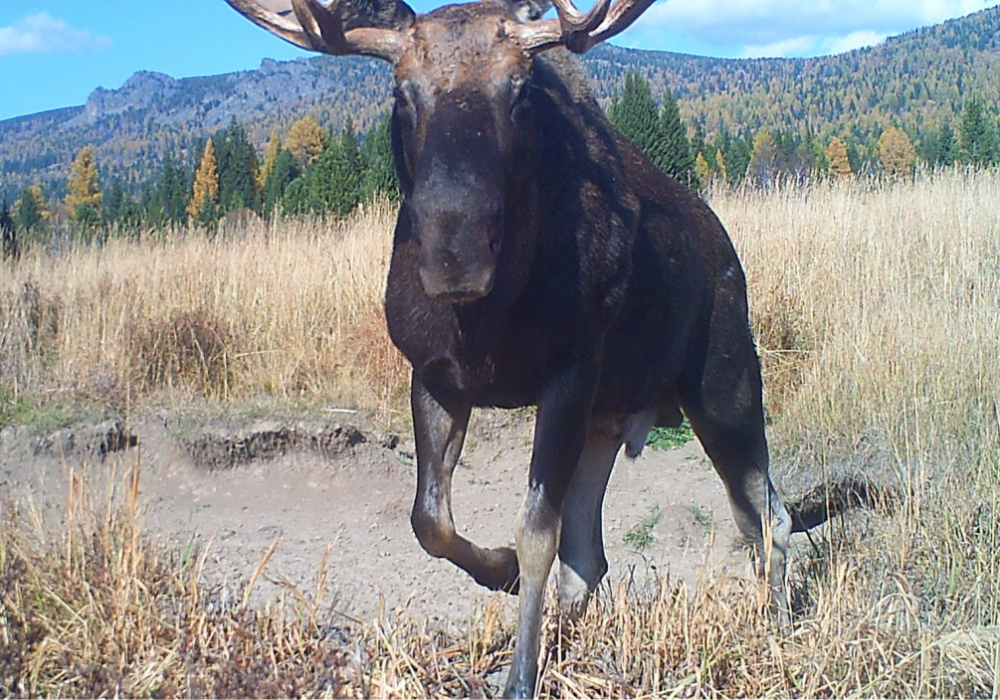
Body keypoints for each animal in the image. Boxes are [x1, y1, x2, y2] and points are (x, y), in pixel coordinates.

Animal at [227, 1, 796, 696]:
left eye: (520, 91)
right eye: (400, 93)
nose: (456, 250)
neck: (488, 321)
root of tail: (724, 245)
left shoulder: (569, 373)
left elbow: (535, 533)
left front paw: (521, 675)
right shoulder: (435, 376)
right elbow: (431, 520)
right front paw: (498, 571)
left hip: (724, 382)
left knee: (765, 515)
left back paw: (777, 624)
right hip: (610, 417)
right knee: (592, 552)